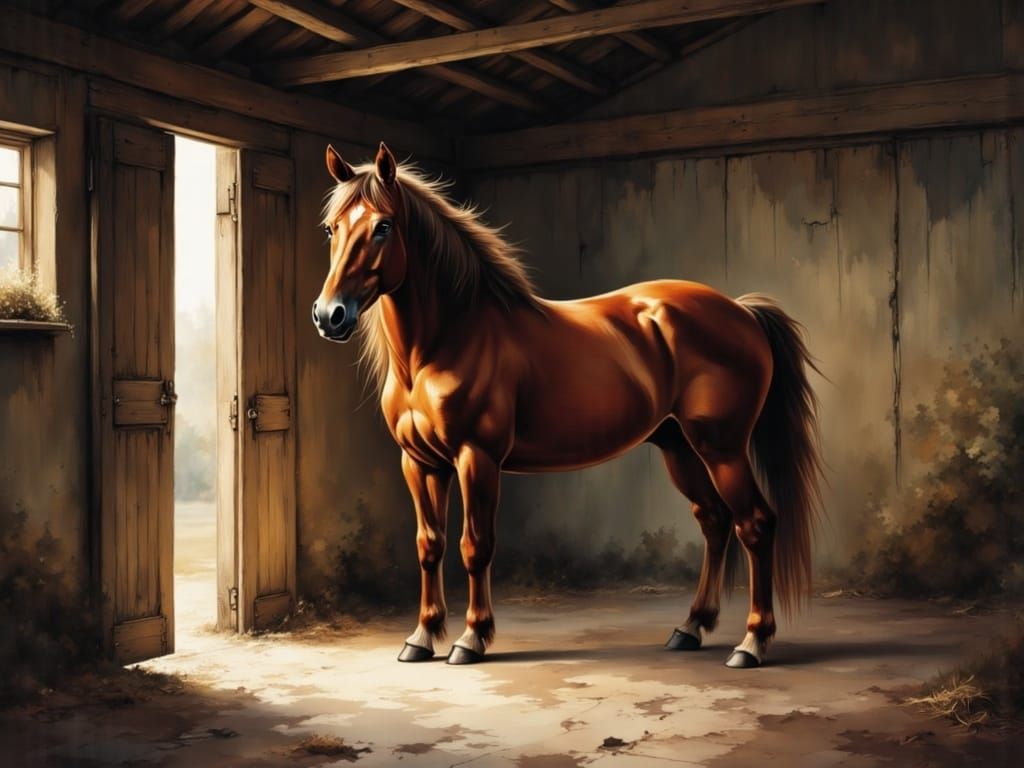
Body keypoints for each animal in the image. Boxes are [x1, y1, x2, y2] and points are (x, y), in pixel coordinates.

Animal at [312, 142, 823, 668]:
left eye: (383, 226)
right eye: (332, 228)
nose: (330, 315)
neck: (448, 340)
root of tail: (741, 310)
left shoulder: (478, 458)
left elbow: (475, 545)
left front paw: (470, 639)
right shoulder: (419, 463)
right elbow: (429, 546)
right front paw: (420, 637)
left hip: (722, 449)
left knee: (755, 524)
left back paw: (752, 643)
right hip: (679, 447)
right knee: (715, 522)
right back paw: (691, 628)